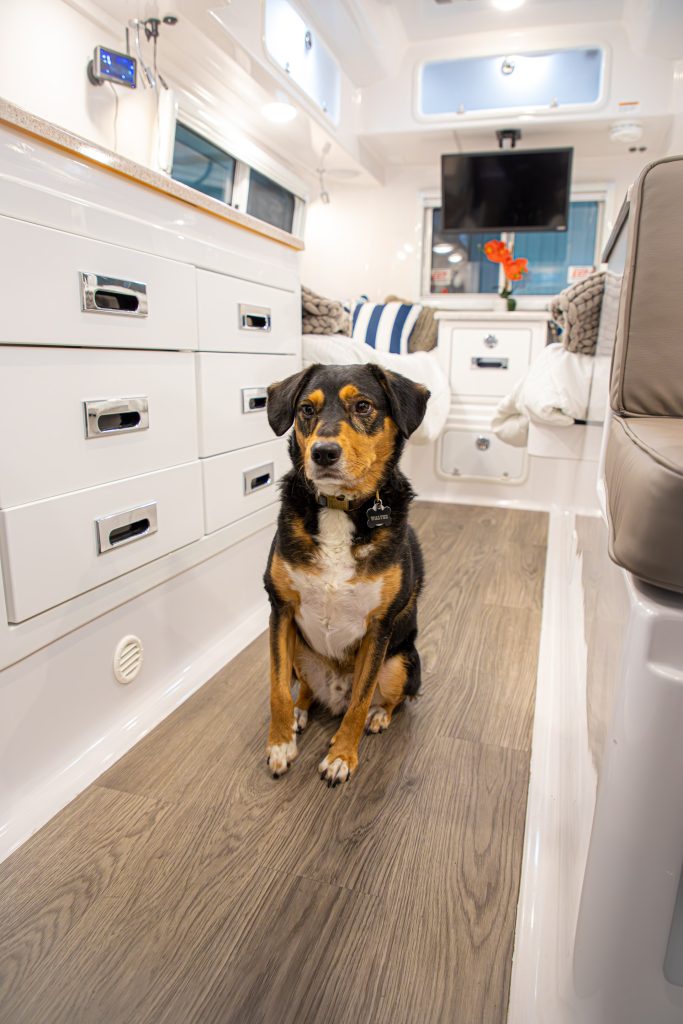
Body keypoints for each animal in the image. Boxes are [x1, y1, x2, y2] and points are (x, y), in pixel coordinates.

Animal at [264, 364, 430, 786]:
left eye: (363, 406)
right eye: (306, 409)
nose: (323, 452)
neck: (339, 508)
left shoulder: (379, 626)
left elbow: (360, 698)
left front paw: (341, 757)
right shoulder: (280, 610)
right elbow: (278, 689)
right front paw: (280, 744)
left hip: (401, 662)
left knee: (389, 699)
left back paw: (379, 716)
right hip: (300, 653)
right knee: (304, 690)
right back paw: (301, 713)